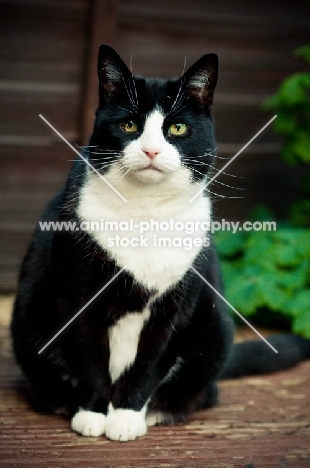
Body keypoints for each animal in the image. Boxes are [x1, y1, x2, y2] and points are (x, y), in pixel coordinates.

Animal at [10, 44, 310, 442]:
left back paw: (156, 412)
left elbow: (151, 363)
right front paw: (93, 413)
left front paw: (125, 416)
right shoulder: (78, 297)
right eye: (129, 125)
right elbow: (89, 358)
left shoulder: (176, 307)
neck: (145, 212)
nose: (151, 150)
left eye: (177, 128)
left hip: (214, 332)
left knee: (203, 391)